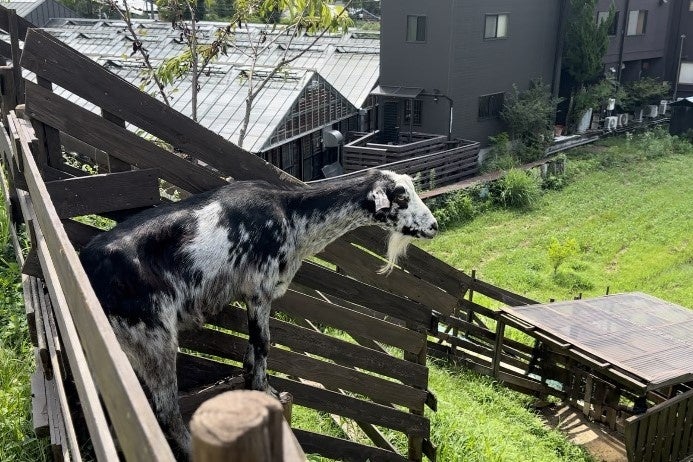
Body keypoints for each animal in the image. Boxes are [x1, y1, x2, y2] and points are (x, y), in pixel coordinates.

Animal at [79, 169, 438, 458]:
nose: (433, 226)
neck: (293, 216)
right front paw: (266, 390)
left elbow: (253, 346)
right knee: (165, 409)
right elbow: (263, 342)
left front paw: (249, 382)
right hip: (152, 334)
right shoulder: (260, 288)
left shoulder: (254, 293)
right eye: (401, 196)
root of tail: (85, 265)